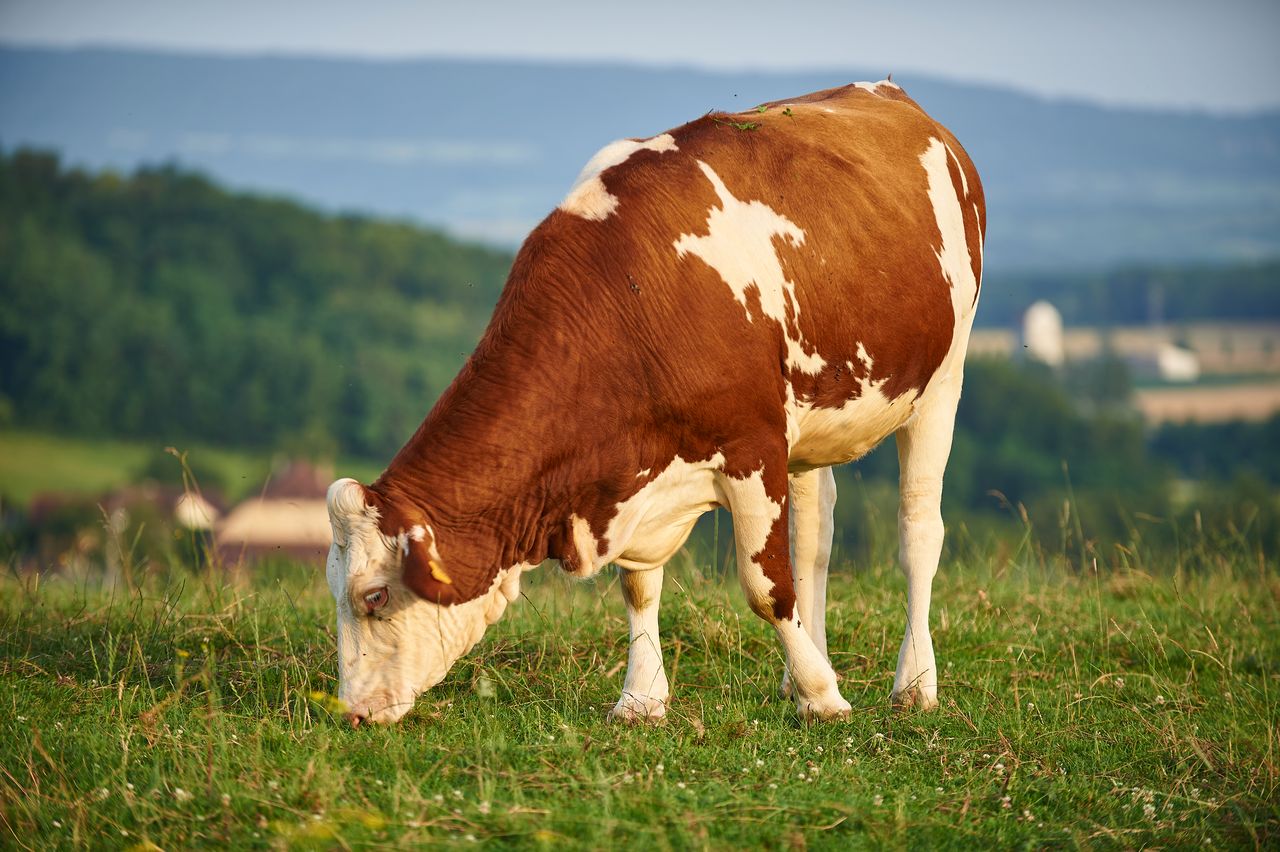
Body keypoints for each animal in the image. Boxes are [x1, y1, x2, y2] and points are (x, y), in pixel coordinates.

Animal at [325, 81, 985, 726]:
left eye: (374, 595)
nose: (352, 712)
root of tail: (894, 96)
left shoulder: (752, 445)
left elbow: (766, 587)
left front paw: (825, 696)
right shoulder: (633, 472)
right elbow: (640, 587)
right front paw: (643, 699)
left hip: (942, 381)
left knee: (918, 533)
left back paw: (913, 684)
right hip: (812, 423)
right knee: (814, 541)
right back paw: (800, 676)